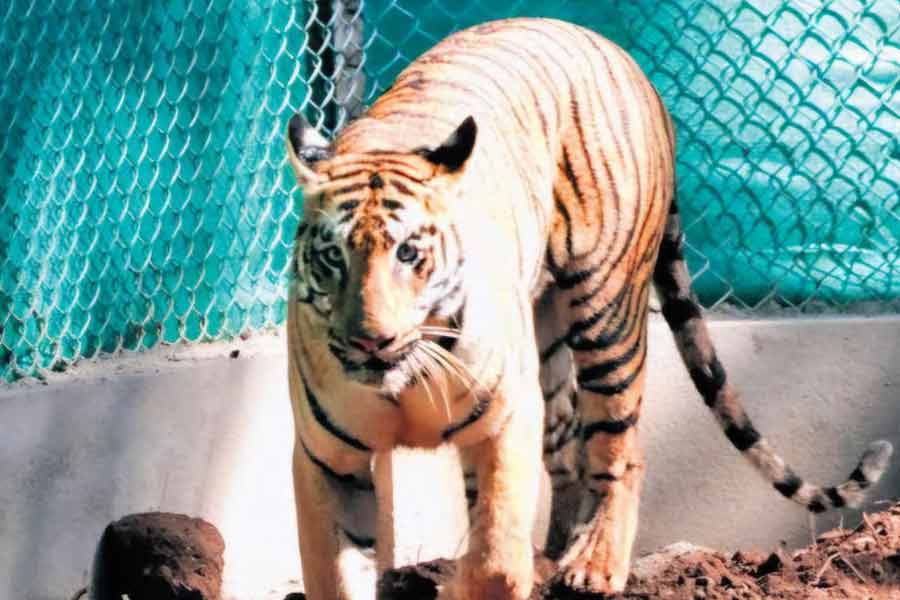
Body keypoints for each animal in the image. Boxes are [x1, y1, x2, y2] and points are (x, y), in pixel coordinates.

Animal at [283, 17, 893, 600]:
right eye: (334, 257)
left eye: (409, 253)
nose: (371, 340)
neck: (406, 378)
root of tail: (625, 58)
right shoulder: (326, 461)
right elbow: (334, 575)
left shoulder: (505, 423)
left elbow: (495, 560)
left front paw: (471, 582)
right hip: (547, 343)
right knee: (569, 448)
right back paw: (555, 554)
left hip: (608, 317)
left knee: (619, 447)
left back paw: (594, 565)